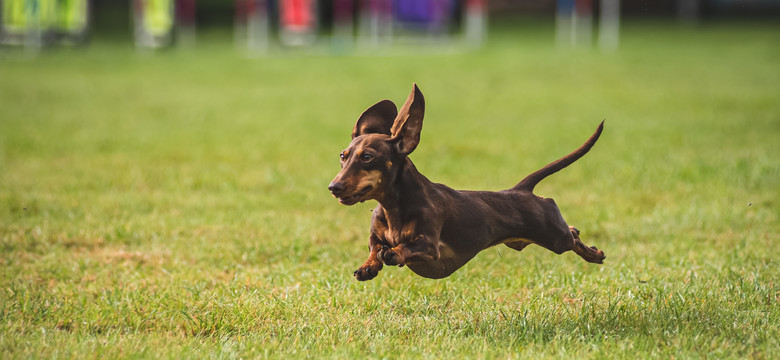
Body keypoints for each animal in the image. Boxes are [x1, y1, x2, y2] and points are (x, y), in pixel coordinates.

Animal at [328, 83, 604, 280]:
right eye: (343, 156)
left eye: (367, 157)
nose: (333, 188)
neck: (393, 207)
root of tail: (520, 190)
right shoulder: (375, 237)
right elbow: (374, 248)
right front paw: (368, 267)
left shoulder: (430, 247)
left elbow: (405, 248)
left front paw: (394, 253)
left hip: (555, 236)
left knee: (572, 234)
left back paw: (595, 254)